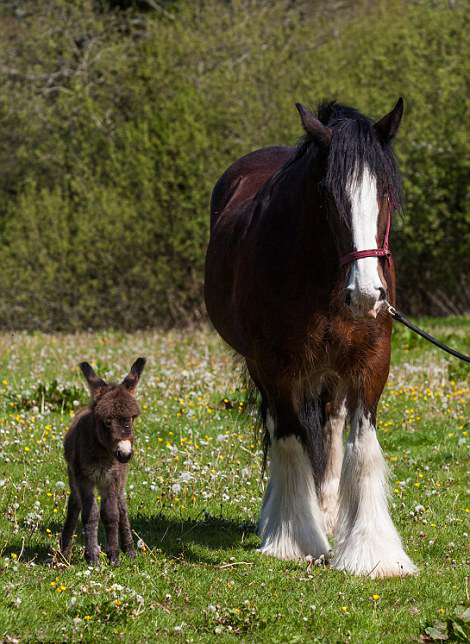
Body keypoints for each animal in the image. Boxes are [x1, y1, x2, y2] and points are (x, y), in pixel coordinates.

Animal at [59, 358, 146, 564]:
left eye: (132, 418)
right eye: (107, 421)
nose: (125, 454)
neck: (103, 455)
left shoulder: (112, 478)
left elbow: (111, 514)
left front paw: (113, 556)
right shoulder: (84, 479)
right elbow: (90, 515)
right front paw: (92, 557)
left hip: (120, 479)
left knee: (122, 506)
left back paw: (129, 549)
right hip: (74, 478)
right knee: (75, 505)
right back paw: (63, 553)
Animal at [204, 97, 416, 580]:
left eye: (385, 194)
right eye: (328, 196)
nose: (366, 295)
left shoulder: (372, 360)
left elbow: (362, 445)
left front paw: (372, 551)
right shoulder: (275, 365)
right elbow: (288, 439)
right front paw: (293, 539)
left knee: (331, 427)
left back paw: (331, 512)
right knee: (284, 428)